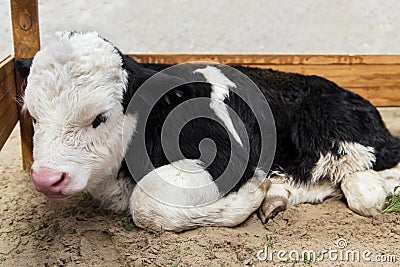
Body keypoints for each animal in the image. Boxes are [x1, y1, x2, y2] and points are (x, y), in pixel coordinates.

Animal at [17, 31, 400, 232]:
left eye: (100, 117)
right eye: (34, 116)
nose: (47, 178)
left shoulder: (229, 153)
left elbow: (147, 204)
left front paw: (248, 197)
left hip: (335, 132)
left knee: (370, 179)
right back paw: (278, 196)